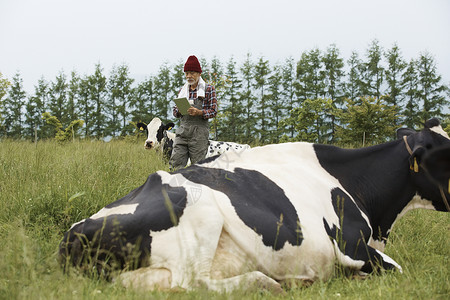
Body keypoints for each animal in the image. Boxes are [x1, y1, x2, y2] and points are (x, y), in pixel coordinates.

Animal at [59, 118, 450, 292]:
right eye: (445, 154)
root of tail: (74, 233)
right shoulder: (350, 245)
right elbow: (398, 270)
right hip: (202, 218)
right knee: (194, 285)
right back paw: (269, 282)